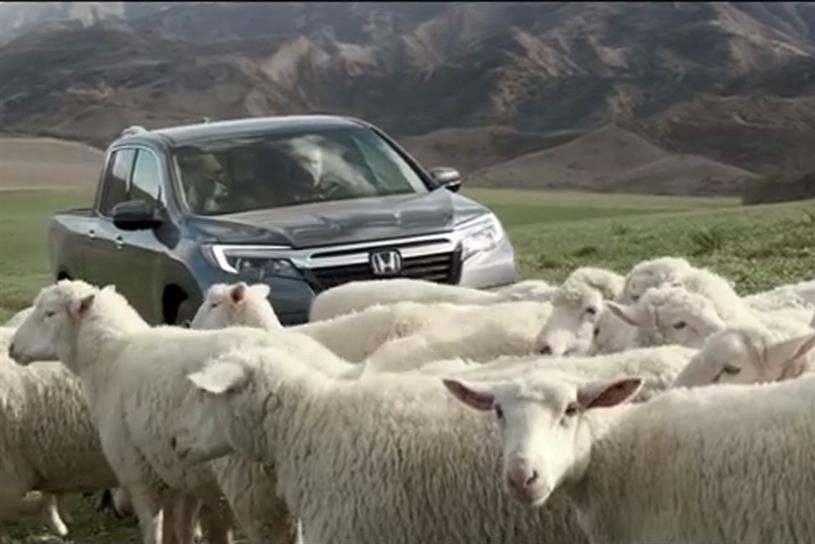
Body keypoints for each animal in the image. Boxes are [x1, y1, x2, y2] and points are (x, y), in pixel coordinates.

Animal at [7, 280, 348, 544]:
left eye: (49, 313)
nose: (11, 348)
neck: (111, 356)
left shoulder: (138, 471)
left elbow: (153, 527)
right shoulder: (177, 473)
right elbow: (181, 527)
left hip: (253, 487)